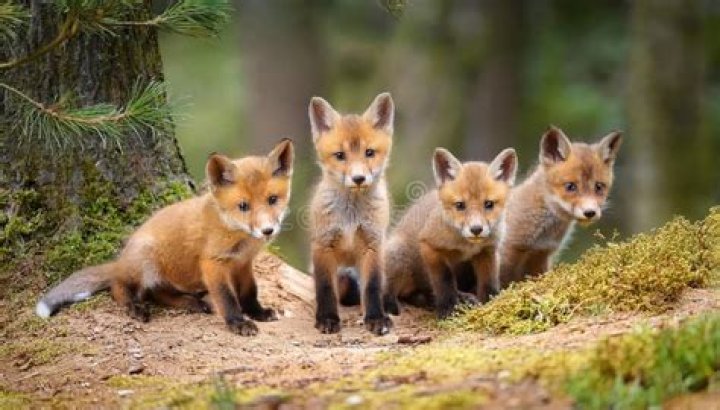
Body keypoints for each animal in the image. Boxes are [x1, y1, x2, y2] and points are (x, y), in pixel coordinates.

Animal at [35, 139, 295, 336]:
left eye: (272, 199)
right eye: (243, 206)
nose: (267, 231)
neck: (237, 234)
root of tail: (121, 260)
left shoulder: (243, 263)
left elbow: (249, 292)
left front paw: (258, 312)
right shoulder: (213, 263)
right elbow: (227, 298)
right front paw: (238, 322)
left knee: (158, 293)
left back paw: (192, 302)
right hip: (145, 261)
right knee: (119, 287)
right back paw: (135, 307)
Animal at [307, 92, 395, 335]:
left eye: (369, 153)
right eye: (340, 155)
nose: (358, 178)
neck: (350, 217)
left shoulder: (372, 244)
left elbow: (372, 286)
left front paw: (376, 318)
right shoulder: (323, 245)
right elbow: (325, 288)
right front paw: (327, 318)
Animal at [383, 147, 518, 319]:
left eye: (489, 204)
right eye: (460, 205)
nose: (476, 229)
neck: (466, 246)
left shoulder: (488, 251)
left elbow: (489, 281)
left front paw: (490, 304)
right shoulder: (429, 246)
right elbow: (444, 282)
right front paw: (447, 309)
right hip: (397, 254)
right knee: (388, 291)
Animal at [497, 126, 622, 289]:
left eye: (599, 187)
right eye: (570, 186)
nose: (590, 212)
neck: (543, 234)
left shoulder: (541, 255)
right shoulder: (509, 251)